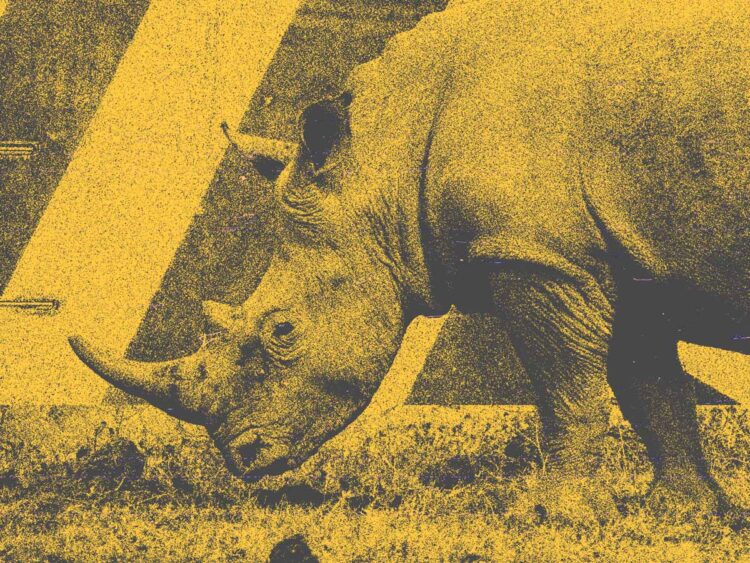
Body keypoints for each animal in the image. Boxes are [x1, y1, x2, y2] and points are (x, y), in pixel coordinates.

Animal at [70, 0, 750, 521]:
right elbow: (650, 388)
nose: (246, 457)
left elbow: (567, 390)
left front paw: (558, 515)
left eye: (283, 330)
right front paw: (681, 512)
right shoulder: (611, 260)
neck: (384, 156)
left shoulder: (536, 257)